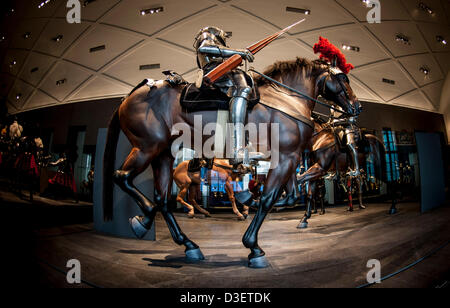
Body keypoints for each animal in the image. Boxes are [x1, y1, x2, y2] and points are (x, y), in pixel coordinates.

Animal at [103, 57, 362, 268]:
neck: (286, 99)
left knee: (163, 199)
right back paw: (147, 218)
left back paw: (186, 243)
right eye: (342, 77)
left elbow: (288, 195)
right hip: (147, 148)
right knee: (122, 177)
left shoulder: (289, 158)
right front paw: (253, 246)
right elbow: (269, 198)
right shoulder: (285, 158)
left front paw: (248, 200)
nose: (357, 107)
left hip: (162, 155)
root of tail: (130, 95)